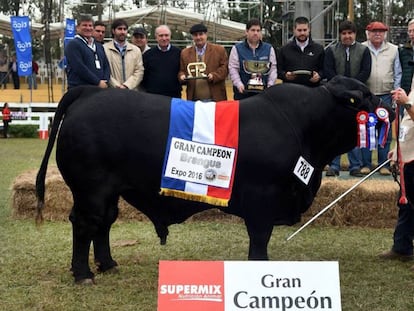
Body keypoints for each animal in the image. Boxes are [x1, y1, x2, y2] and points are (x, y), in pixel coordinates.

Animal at [36, 76, 394, 286]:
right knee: (86, 223)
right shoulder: (263, 201)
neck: (303, 126)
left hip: (109, 191)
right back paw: (84, 274)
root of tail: (88, 93)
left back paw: (108, 264)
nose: (389, 106)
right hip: (91, 190)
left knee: (104, 223)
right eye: (365, 98)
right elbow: (259, 240)